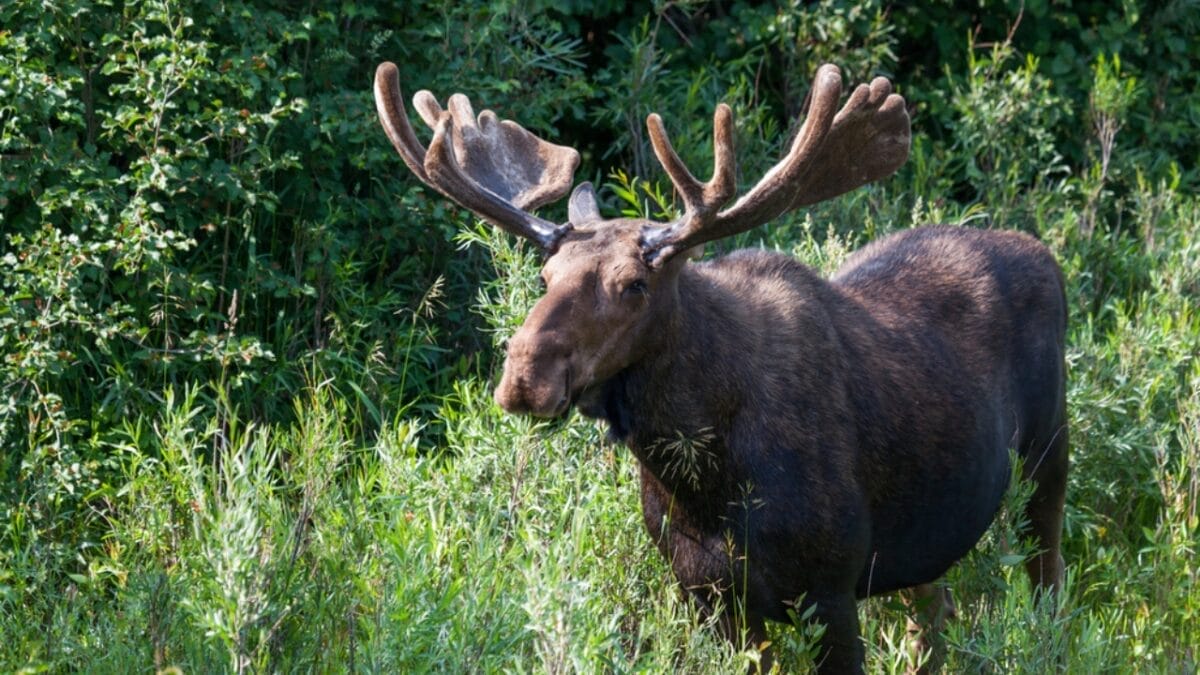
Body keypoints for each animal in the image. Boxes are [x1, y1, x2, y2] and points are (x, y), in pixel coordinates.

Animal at [373, 59, 1068, 673]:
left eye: (634, 285)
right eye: (545, 277)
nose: (524, 378)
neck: (705, 478)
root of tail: (1045, 255)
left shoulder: (830, 588)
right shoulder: (708, 597)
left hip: (1047, 457)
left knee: (1049, 591)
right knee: (935, 614)